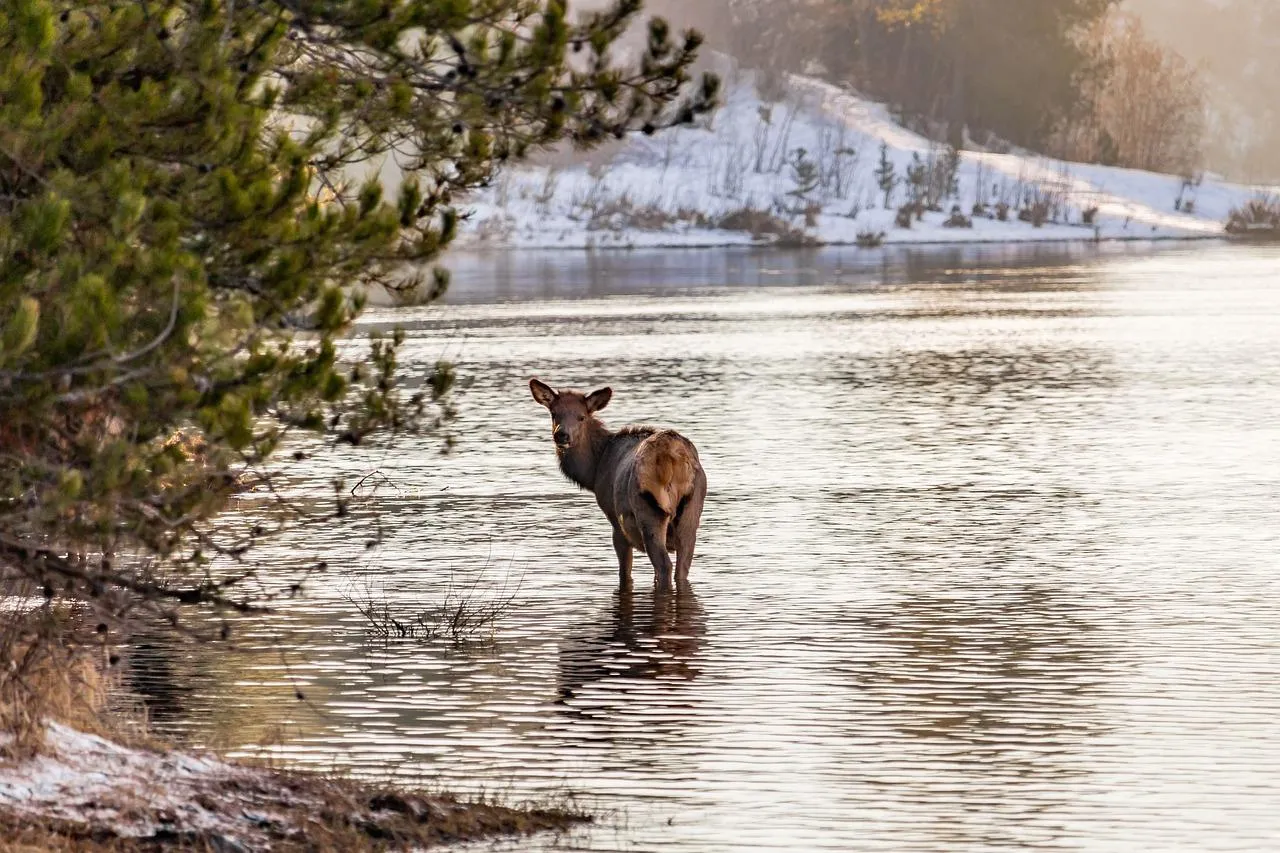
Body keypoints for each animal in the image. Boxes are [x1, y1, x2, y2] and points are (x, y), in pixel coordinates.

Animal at [529, 378, 707, 591]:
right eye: (554, 413)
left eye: (581, 417)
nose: (562, 435)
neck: (594, 471)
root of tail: (671, 457)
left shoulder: (615, 521)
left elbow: (625, 573)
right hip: (692, 509)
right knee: (682, 567)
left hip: (648, 510)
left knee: (664, 566)